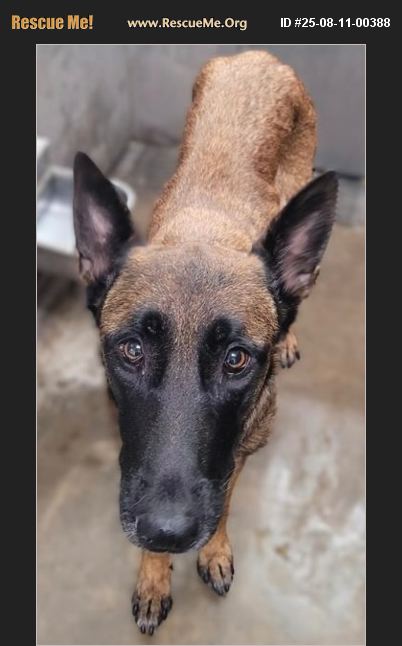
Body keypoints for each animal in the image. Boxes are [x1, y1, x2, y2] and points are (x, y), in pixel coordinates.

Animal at [73, 50, 338, 635]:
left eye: (236, 360)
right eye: (132, 350)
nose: (167, 531)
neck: (207, 234)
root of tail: (260, 56)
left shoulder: (238, 449)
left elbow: (225, 500)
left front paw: (212, 551)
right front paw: (154, 575)